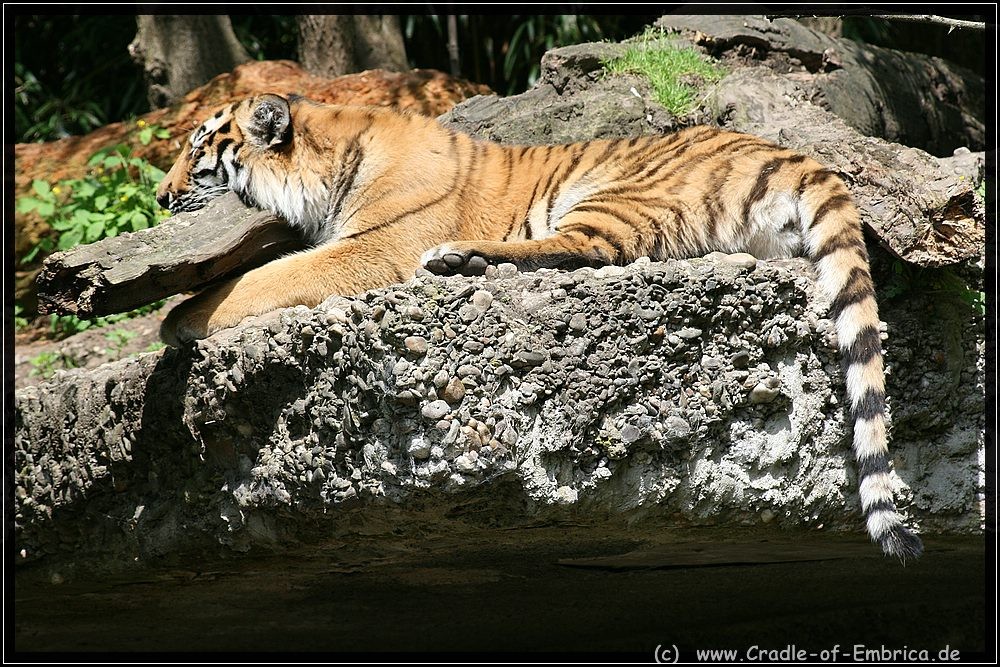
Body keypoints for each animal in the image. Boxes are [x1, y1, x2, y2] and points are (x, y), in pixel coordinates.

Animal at [156, 92, 923, 560]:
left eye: (198, 149)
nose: (161, 197)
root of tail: (796, 155)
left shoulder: (373, 247)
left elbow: (263, 277)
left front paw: (179, 318)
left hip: (614, 193)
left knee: (581, 251)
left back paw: (459, 258)